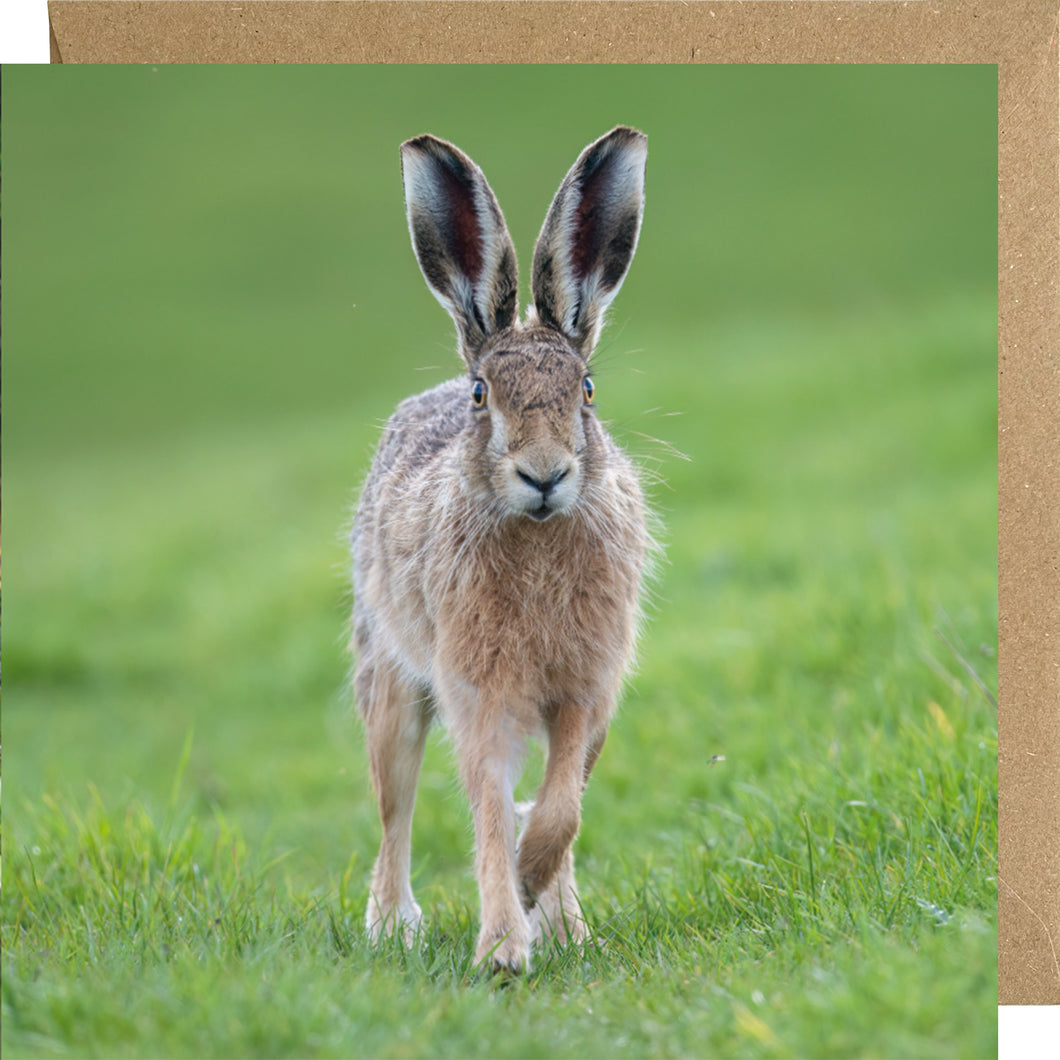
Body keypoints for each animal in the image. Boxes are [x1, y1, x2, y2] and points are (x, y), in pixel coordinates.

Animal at [351, 125, 651, 974]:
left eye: (588, 391)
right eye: (483, 396)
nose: (544, 475)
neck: (539, 534)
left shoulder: (586, 688)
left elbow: (560, 808)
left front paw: (531, 889)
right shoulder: (478, 691)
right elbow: (487, 801)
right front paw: (502, 947)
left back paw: (566, 923)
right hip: (389, 684)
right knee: (393, 808)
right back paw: (394, 926)